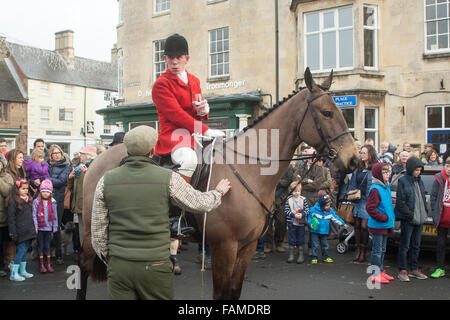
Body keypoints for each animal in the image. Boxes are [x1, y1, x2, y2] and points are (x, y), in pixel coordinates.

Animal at [76, 68, 358, 300]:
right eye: (327, 113)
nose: (354, 159)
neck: (249, 167)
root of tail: (96, 160)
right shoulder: (225, 247)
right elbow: (221, 294)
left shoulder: (247, 247)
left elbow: (234, 292)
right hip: (93, 228)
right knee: (83, 267)